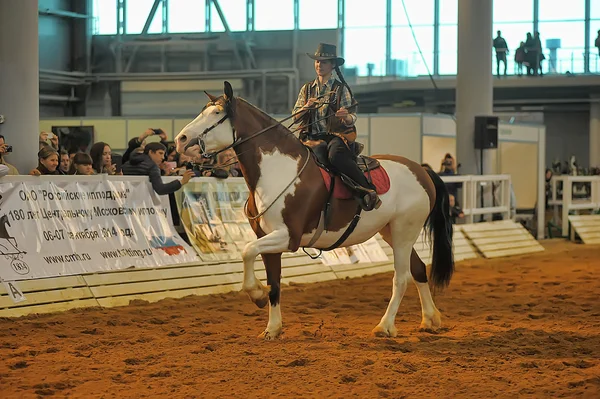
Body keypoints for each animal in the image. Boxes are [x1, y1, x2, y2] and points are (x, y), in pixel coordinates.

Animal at [173, 81, 454, 340]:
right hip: (391, 232)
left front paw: (257, 295)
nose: (181, 139)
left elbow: (246, 251)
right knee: (418, 270)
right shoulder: (266, 238)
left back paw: (385, 326)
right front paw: (272, 328)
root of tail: (421, 171)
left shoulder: (288, 237)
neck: (278, 171)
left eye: (216, 113)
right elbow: (273, 282)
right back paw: (430, 319)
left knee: (402, 277)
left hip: (405, 230)